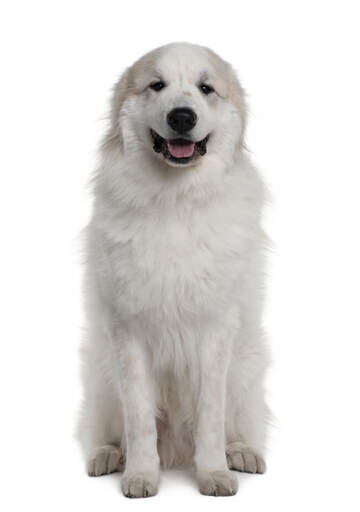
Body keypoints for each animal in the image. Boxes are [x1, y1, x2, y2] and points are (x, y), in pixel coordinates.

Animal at [79, 42, 270, 498]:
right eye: (157, 85)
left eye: (206, 88)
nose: (182, 117)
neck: (176, 199)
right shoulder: (128, 331)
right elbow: (140, 419)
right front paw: (141, 476)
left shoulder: (217, 331)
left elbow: (211, 416)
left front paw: (214, 474)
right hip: (100, 369)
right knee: (105, 429)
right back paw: (108, 456)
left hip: (247, 363)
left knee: (239, 422)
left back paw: (241, 453)